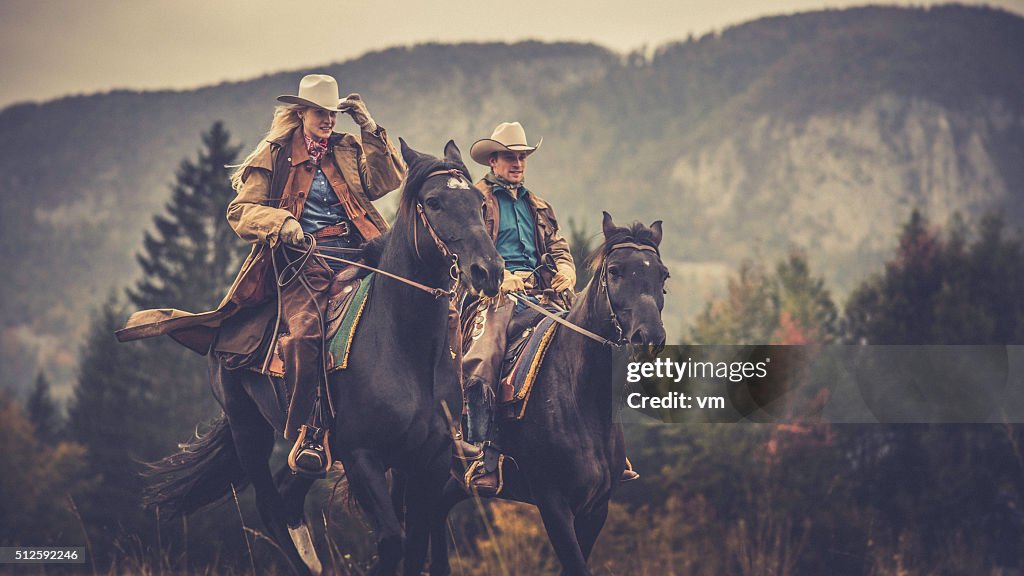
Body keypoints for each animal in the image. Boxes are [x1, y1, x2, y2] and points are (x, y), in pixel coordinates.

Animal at [428, 212, 667, 573]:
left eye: (663, 274)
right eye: (615, 270)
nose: (649, 336)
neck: (581, 398)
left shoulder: (595, 508)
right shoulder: (553, 503)